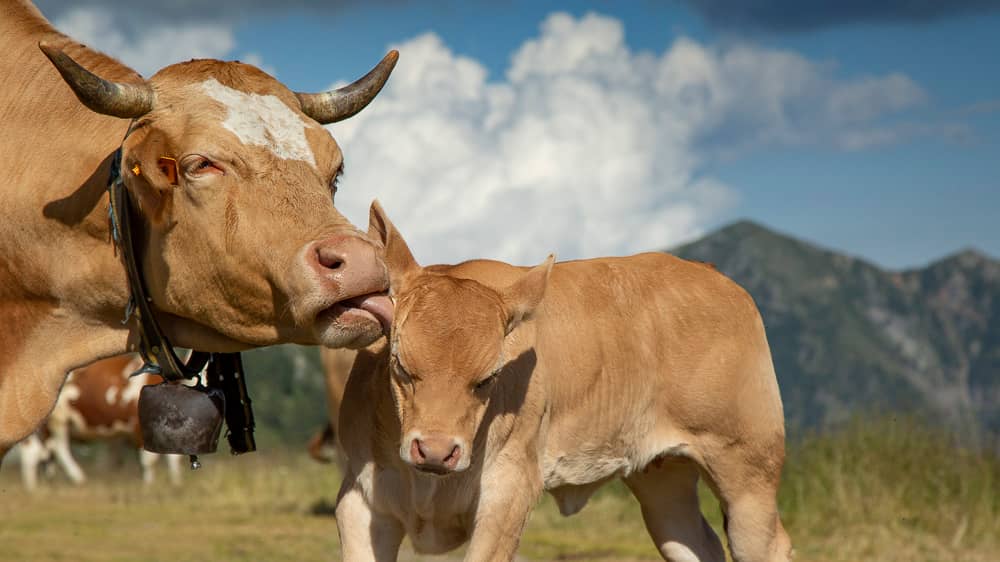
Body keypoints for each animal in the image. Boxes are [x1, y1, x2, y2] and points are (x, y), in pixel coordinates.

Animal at [18, 354, 188, 490]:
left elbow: (174, 456)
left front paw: (176, 482)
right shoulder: (137, 425)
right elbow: (149, 459)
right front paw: (149, 485)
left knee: (47, 451)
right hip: (57, 420)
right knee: (51, 449)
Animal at [332, 202, 792, 560]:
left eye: (488, 377)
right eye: (399, 364)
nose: (435, 450)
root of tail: (711, 275)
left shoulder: (509, 493)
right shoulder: (360, 500)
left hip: (747, 468)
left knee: (768, 543)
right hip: (662, 478)